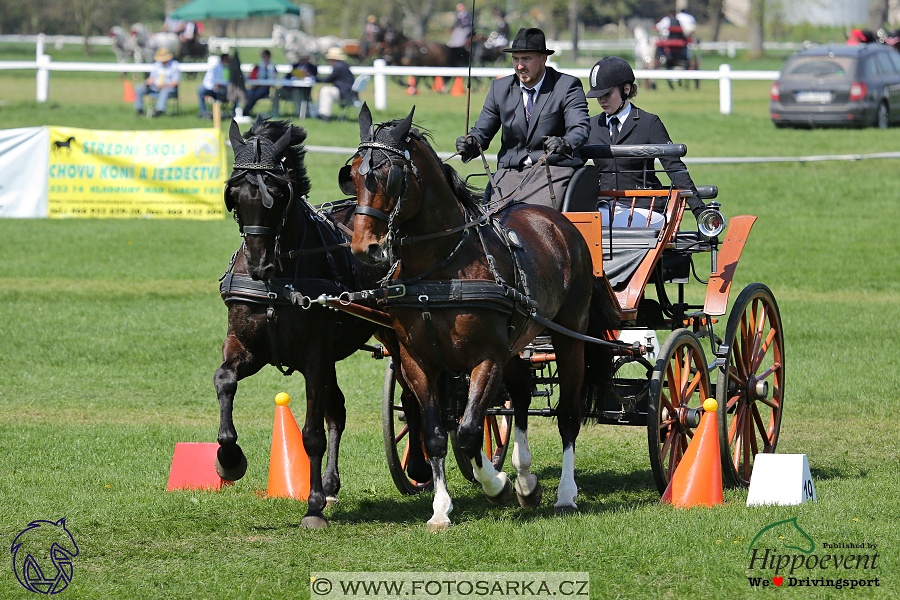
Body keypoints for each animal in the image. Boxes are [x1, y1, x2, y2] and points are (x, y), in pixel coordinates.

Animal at [216, 119, 416, 528]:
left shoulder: (314, 358)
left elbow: (311, 434)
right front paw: (229, 460)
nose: (258, 264)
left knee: (415, 399)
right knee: (337, 411)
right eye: (235, 194)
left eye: (278, 193)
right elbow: (224, 379)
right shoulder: (248, 348)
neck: (279, 279)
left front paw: (312, 507)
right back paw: (331, 486)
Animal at [344, 104, 620, 528]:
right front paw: (442, 509)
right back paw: (527, 480)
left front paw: (496, 485)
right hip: (516, 343)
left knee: (568, 415)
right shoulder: (417, 361)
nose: (365, 248)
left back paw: (564, 493)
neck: (441, 270)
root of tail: (558, 221)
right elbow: (437, 432)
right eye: (354, 173)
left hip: (568, 336)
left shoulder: (486, 358)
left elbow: (470, 430)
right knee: (520, 393)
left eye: (391, 176)